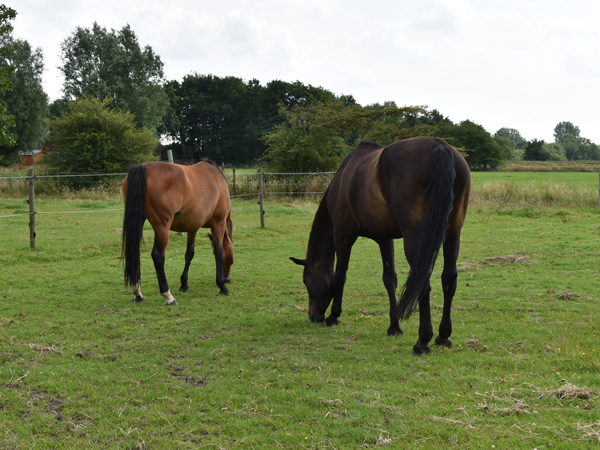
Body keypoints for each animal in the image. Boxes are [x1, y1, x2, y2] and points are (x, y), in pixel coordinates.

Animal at [122, 160, 234, 304]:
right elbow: (219, 252)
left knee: (134, 252)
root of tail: (143, 167)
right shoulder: (218, 222)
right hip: (162, 226)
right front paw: (222, 286)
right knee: (158, 256)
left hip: (139, 220)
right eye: (231, 258)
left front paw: (184, 284)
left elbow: (189, 254)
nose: (227, 279)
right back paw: (168, 295)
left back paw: (137, 293)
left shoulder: (192, 227)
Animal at [290, 135, 468, 354]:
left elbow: (340, 275)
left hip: (416, 238)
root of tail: (440, 147)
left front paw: (333, 316)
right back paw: (443, 336)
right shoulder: (385, 238)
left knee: (422, 280)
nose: (313, 316)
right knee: (449, 278)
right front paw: (394, 326)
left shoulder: (342, 235)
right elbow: (389, 278)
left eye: (306, 281)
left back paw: (422, 341)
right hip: (452, 232)